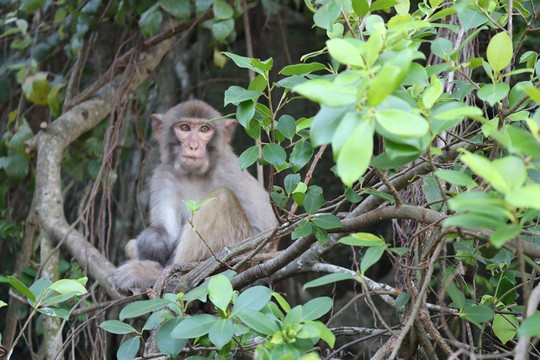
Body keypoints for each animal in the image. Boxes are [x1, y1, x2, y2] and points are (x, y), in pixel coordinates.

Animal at [112, 100, 276, 294]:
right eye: (184, 127)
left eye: (204, 129)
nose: (193, 146)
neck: (194, 175)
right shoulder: (164, 177)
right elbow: (168, 233)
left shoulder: (231, 169)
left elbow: (265, 235)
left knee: (221, 199)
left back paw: (163, 276)